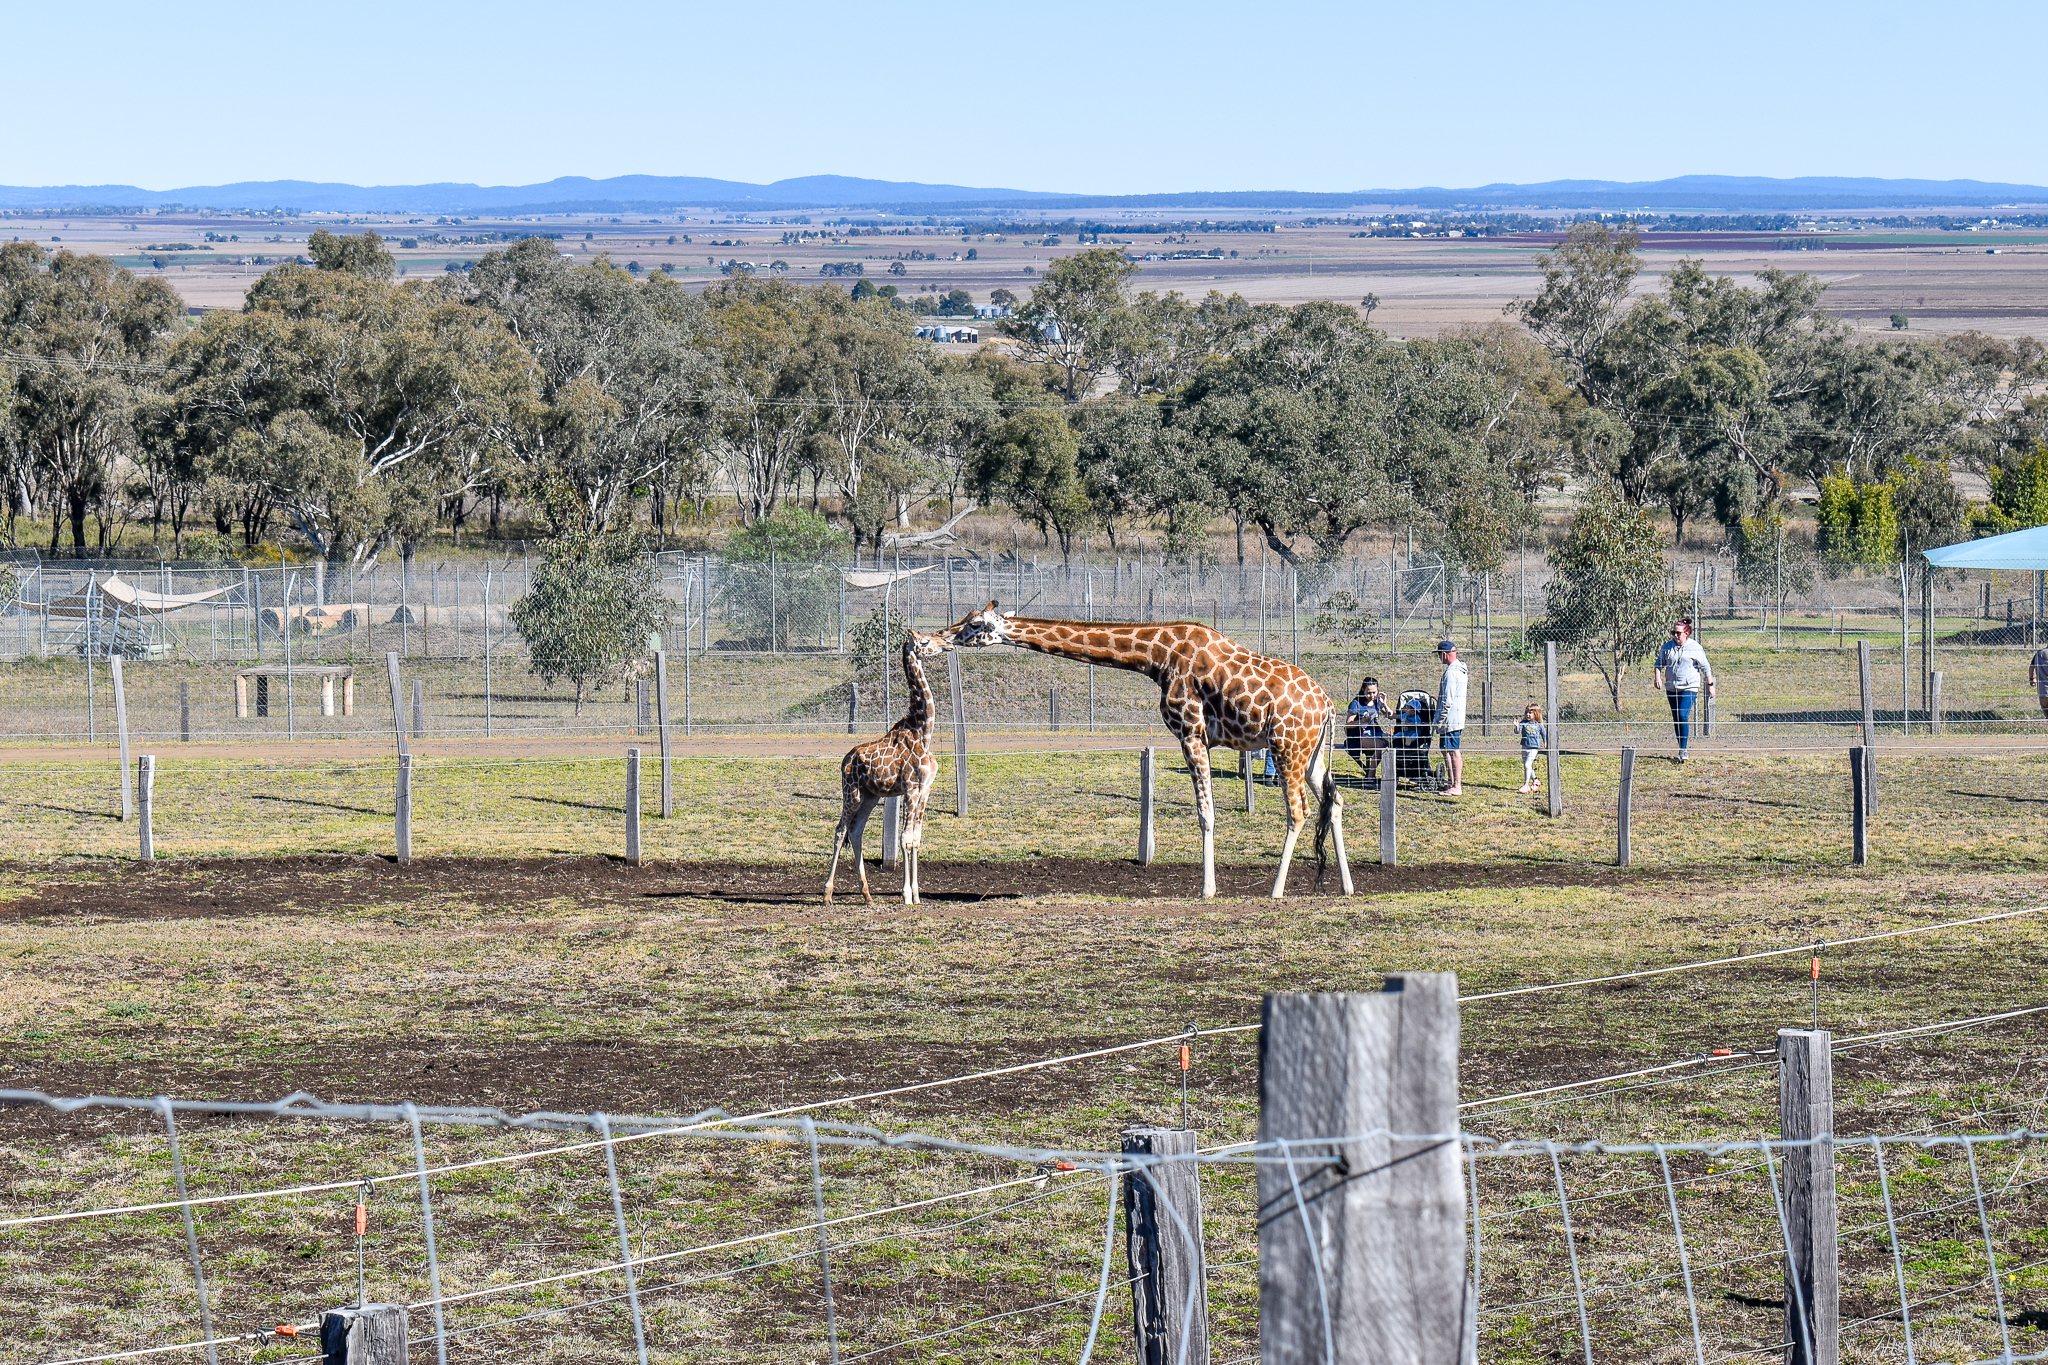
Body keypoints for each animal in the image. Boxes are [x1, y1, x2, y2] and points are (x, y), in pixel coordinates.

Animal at [824, 630, 949, 906]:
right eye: (925, 641)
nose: (947, 644)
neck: (923, 733)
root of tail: (845, 760)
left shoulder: (925, 790)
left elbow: (916, 838)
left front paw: (917, 895)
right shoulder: (911, 789)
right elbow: (904, 838)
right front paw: (906, 895)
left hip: (871, 796)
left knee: (856, 831)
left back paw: (867, 894)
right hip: (851, 793)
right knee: (840, 831)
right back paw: (827, 894)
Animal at [939, 603, 1352, 900]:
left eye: (975, 625)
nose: (941, 636)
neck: (1157, 657)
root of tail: (1328, 705)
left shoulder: (1191, 733)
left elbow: (1205, 814)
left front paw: (1207, 890)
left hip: (1286, 747)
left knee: (1298, 811)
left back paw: (1276, 891)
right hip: (1312, 754)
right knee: (1335, 801)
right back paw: (1345, 887)